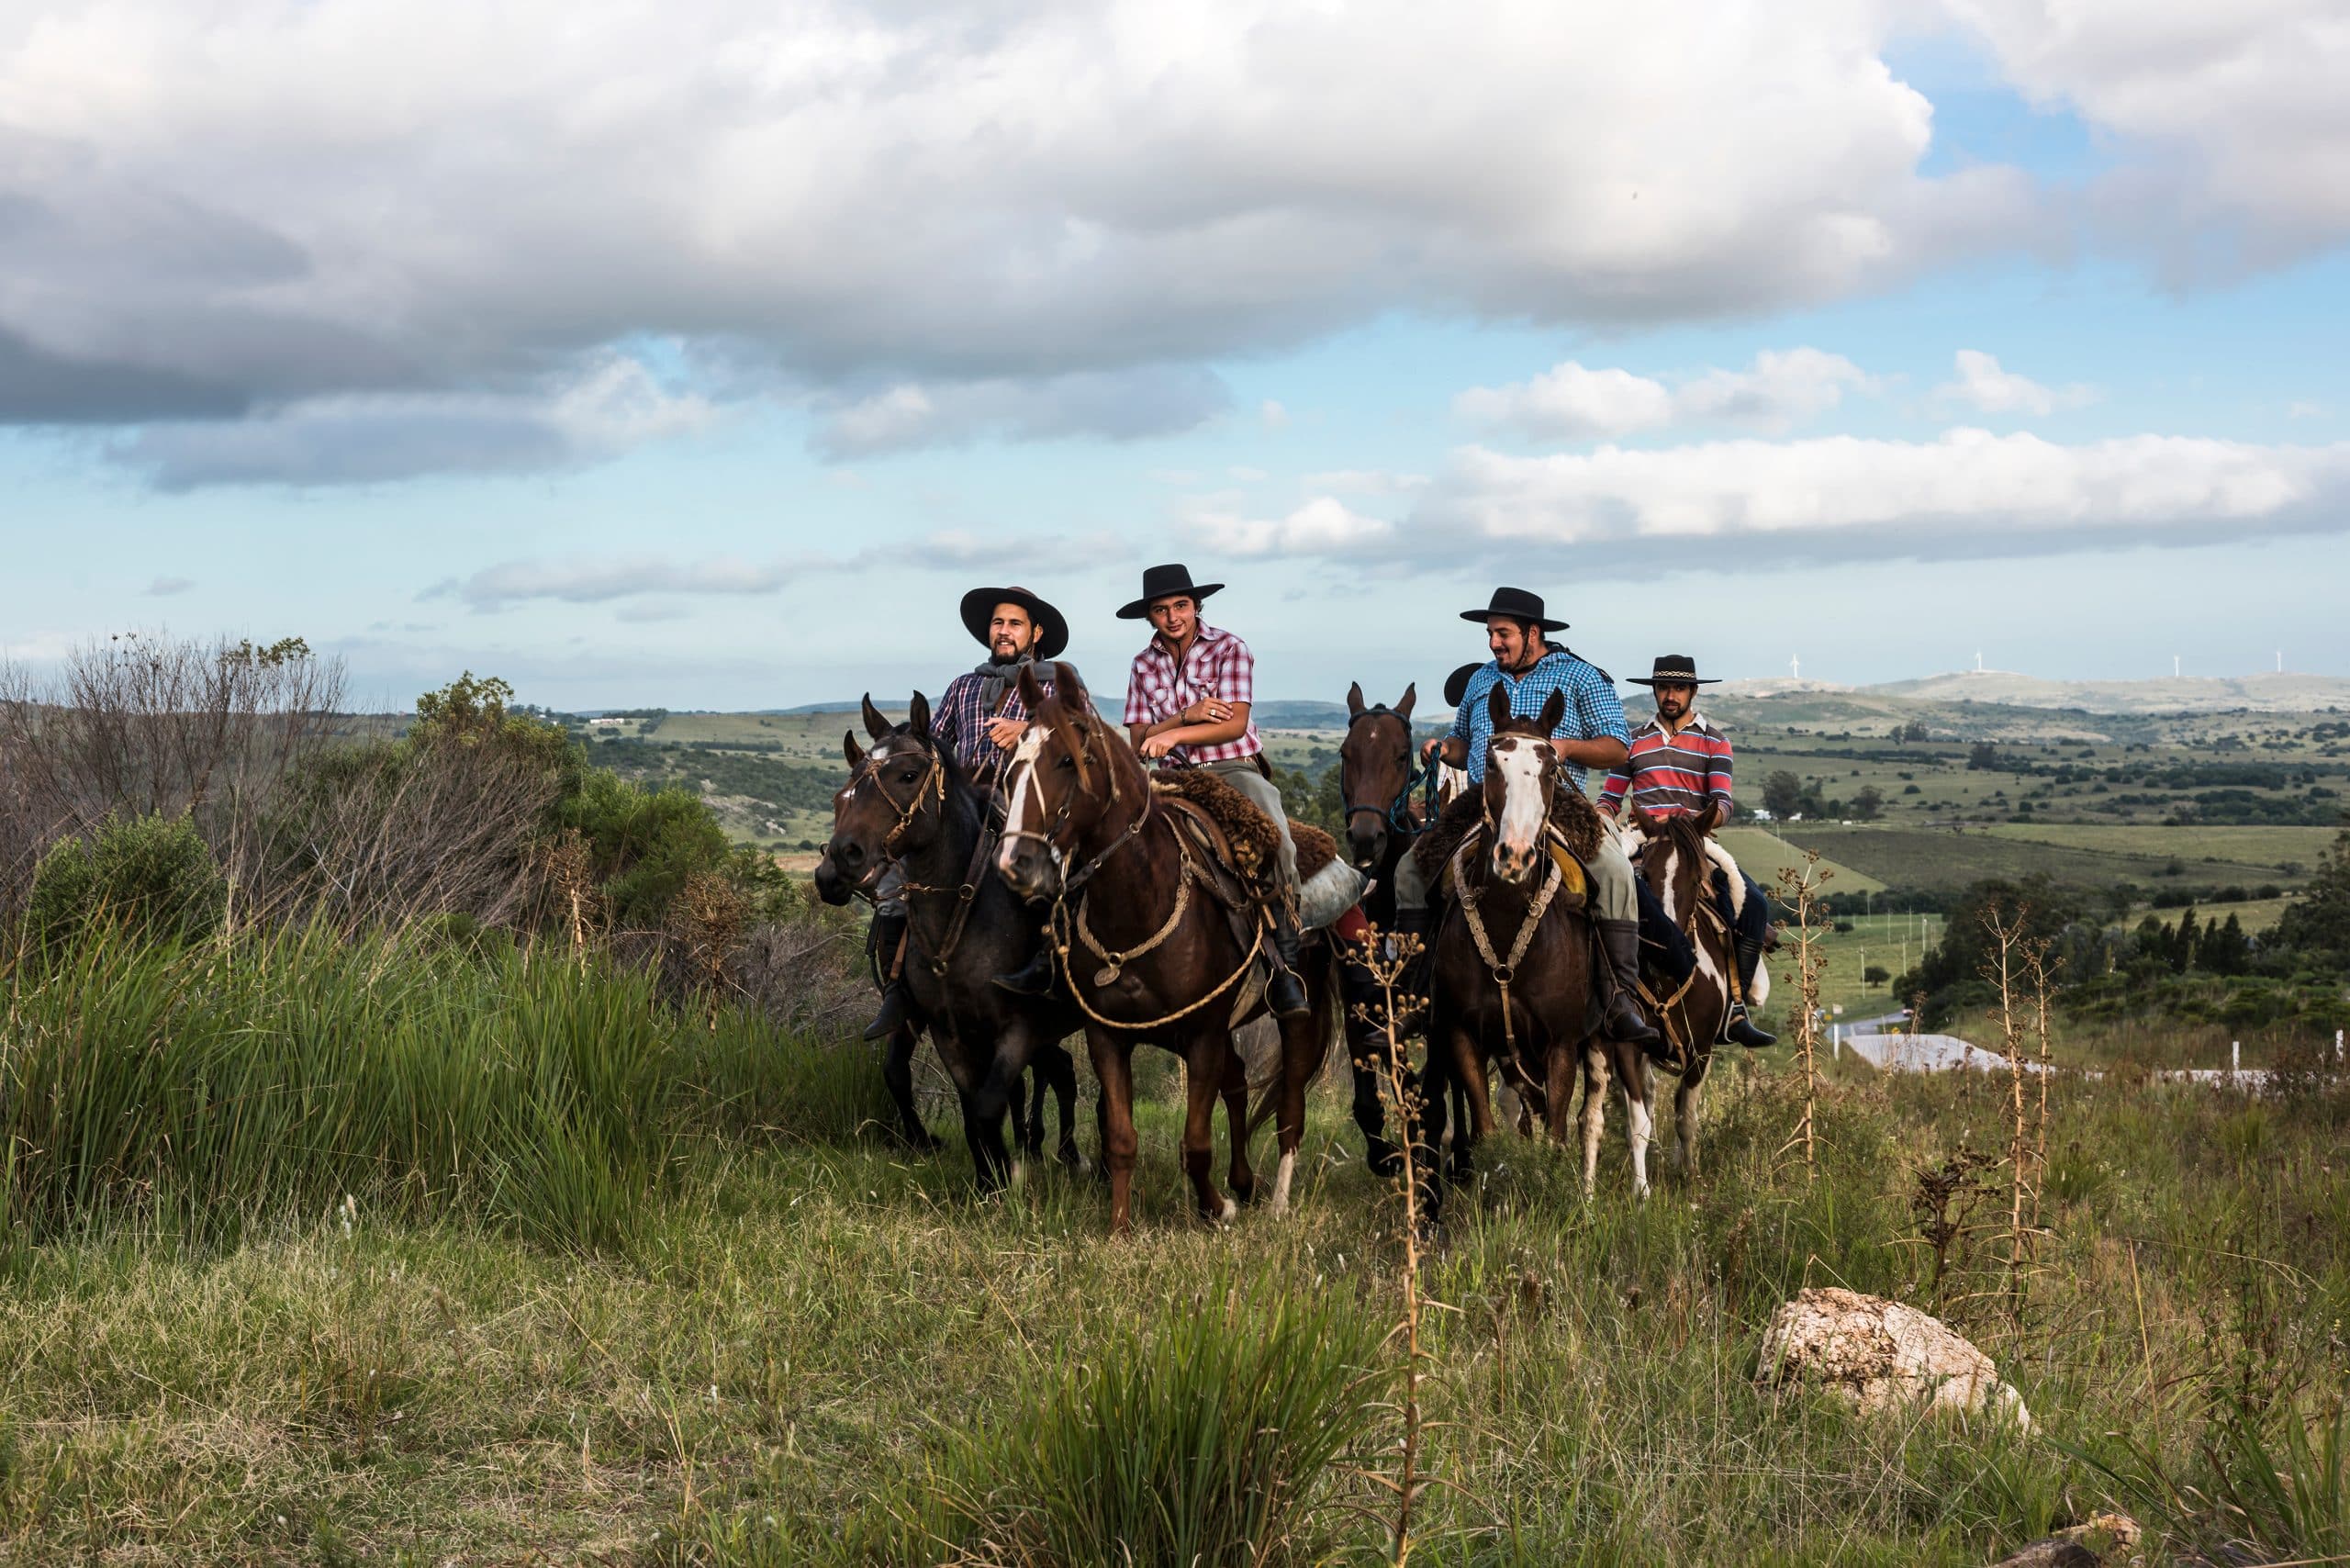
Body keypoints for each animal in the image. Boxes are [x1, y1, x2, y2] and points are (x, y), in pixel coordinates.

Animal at [812, 690, 1085, 1184]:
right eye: (846, 789)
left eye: (908, 775)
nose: (838, 863)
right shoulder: (940, 1027)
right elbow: (947, 1096)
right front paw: (977, 1171)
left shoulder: (1016, 1029)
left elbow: (991, 1103)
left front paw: (1004, 1175)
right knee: (1056, 1071)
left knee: (1065, 1073)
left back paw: (1070, 1154)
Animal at [991, 663, 1344, 1241]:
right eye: (1012, 767)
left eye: (1067, 760)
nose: (1016, 863)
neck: (1140, 904)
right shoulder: (1108, 1038)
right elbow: (1121, 1138)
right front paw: (1119, 1229)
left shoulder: (1202, 1035)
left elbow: (1196, 1142)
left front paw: (1216, 1209)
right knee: (1239, 1086)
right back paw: (1244, 1182)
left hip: (1300, 1018)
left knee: (1290, 1106)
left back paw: (1276, 1202)